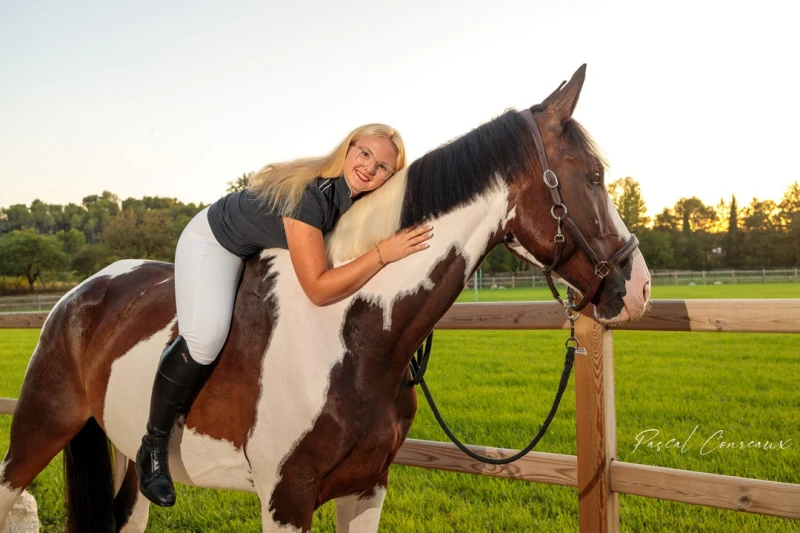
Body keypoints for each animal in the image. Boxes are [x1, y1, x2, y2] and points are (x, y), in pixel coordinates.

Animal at [0, 64, 651, 533]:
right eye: (594, 176)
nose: (637, 288)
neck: (352, 332)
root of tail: (82, 294)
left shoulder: (366, 488)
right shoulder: (285, 499)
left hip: (129, 466)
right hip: (38, 430)